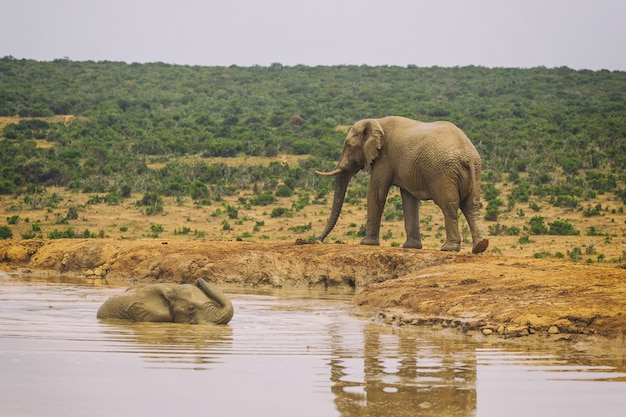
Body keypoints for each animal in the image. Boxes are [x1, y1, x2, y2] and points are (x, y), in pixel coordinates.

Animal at [316, 114, 488, 254]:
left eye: (348, 146)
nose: (318, 240)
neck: (377, 122)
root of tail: (467, 155)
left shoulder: (384, 158)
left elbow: (376, 193)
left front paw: (366, 243)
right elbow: (409, 199)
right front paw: (411, 247)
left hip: (442, 172)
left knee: (449, 205)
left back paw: (449, 248)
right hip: (475, 171)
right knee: (471, 205)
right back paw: (480, 246)